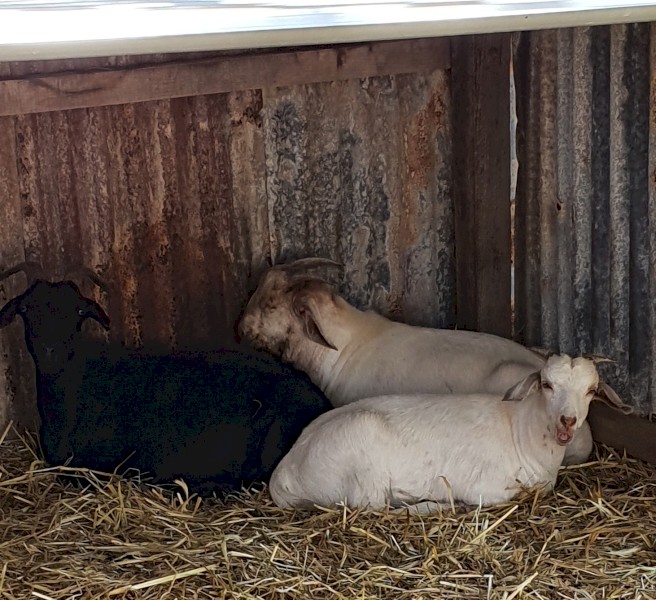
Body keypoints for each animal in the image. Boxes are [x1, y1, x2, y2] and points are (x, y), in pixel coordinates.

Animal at [270, 354, 604, 512]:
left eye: (591, 390)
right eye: (547, 385)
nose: (568, 420)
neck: (523, 430)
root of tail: (283, 473)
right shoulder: (487, 487)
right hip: (363, 461)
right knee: (375, 507)